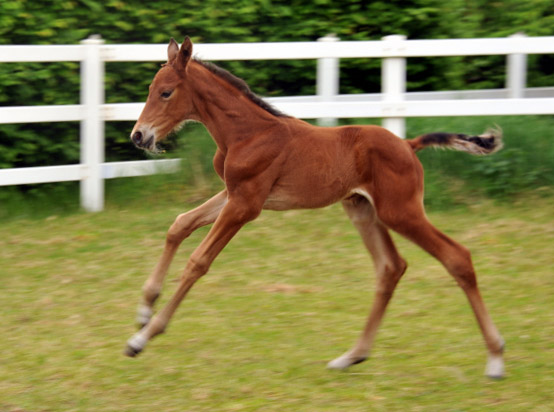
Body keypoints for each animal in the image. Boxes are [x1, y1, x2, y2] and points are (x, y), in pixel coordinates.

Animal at [125, 37, 504, 378]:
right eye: (151, 88)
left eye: (166, 92)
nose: (138, 136)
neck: (246, 133)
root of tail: (408, 145)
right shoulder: (233, 194)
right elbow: (179, 224)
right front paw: (144, 310)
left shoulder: (246, 205)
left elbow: (197, 262)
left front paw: (142, 338)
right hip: (363, 210)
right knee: (390, 267)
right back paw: (351, 357)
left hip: (401, 211)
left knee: (456, 257)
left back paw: (496, 358)